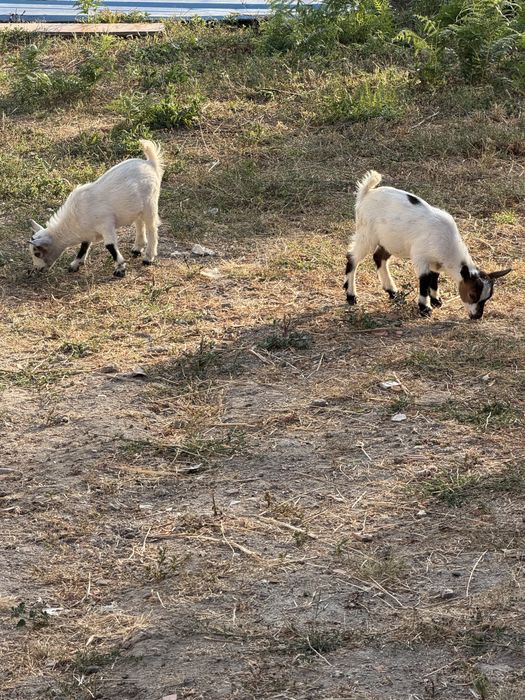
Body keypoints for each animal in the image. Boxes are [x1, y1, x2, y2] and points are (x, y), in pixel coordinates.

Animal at [29, 139, 164, 278]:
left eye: (37, 253)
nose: (37, 269)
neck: (74, 220)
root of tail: (150, 163)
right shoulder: (88, 231)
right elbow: (84, 246)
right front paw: (75, 264)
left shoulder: (106, 225)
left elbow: (110, 246)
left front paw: (120, 268)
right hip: (136, 207)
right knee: (139, 223)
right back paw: (137, 248)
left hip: (150, 203)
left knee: (152, 228)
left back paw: (148, 257)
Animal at [344, 171, 511, 319]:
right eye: (472, 294)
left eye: (487, 297)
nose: (477, 316)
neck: (447, 243)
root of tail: (366, 194)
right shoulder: (420, 257)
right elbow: (424, 281)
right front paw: (425, 308)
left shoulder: (435, 262)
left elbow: (434, 279)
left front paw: (436, 300)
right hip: (367, 234)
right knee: (352, 257)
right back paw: (351, 296)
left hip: (390, 240)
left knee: (379, 257)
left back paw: (392, 291)